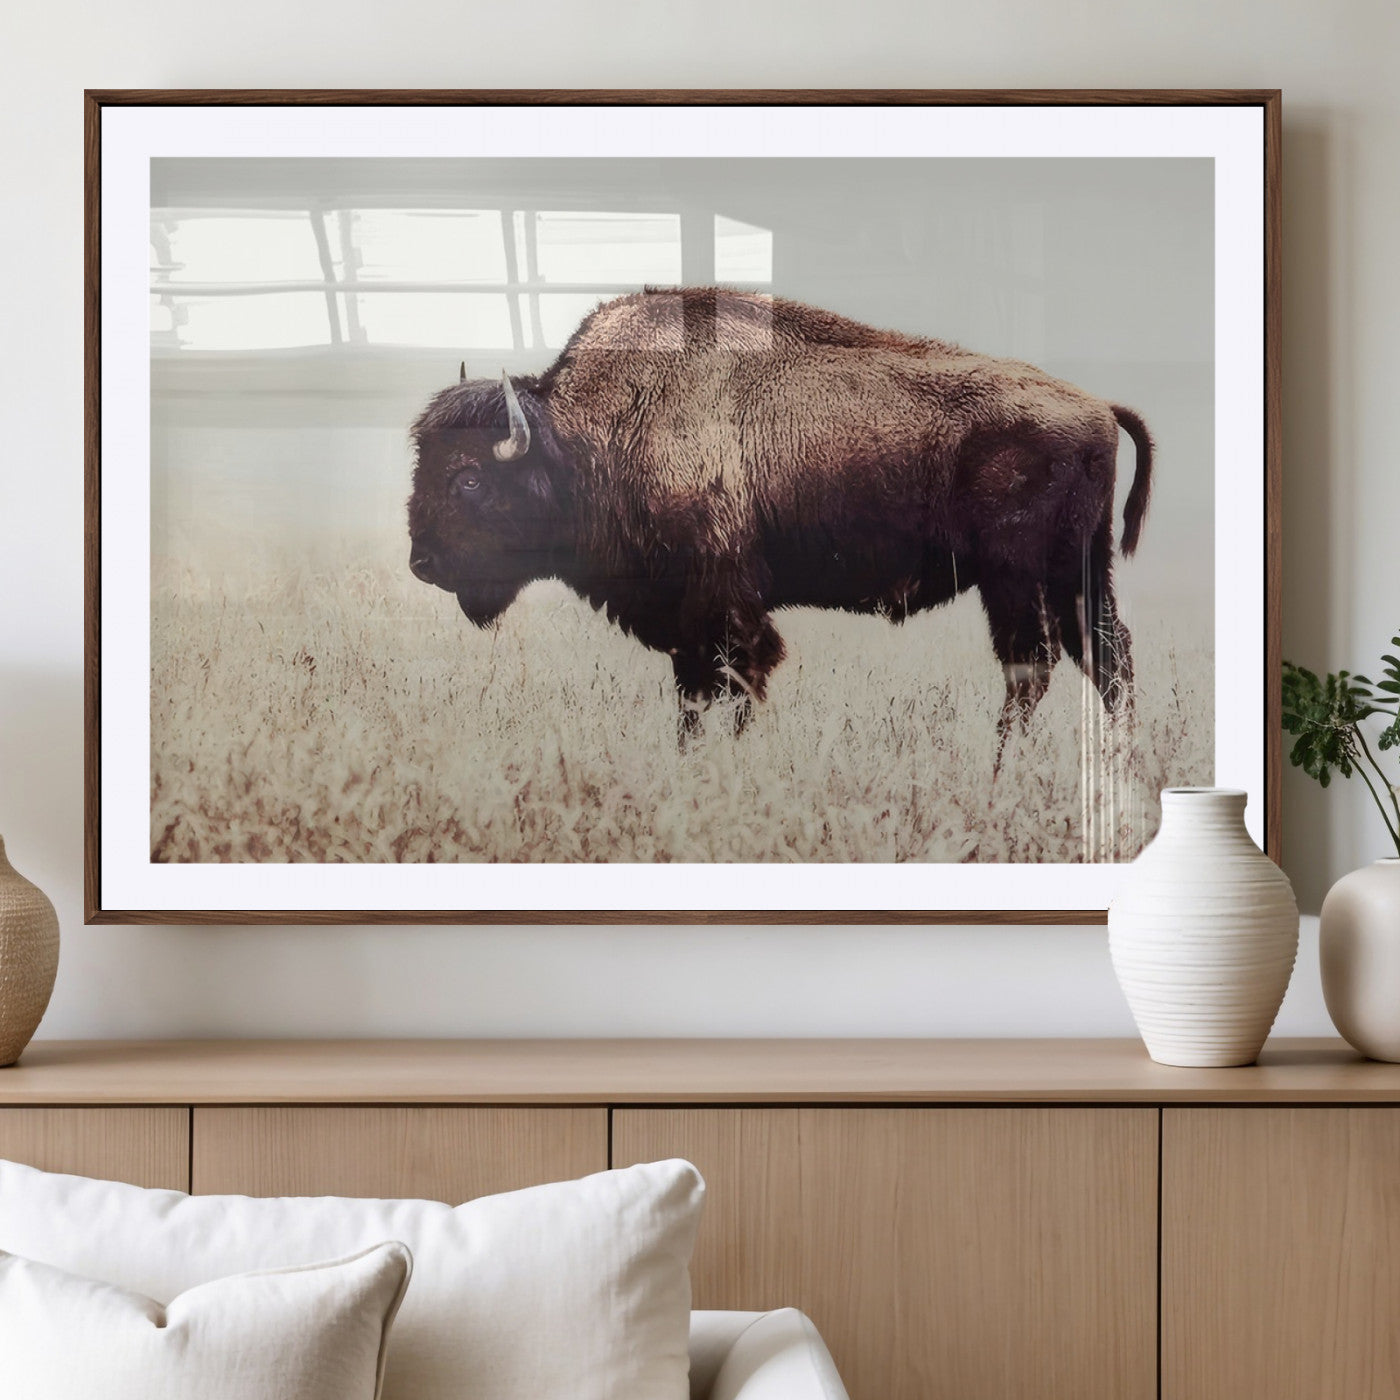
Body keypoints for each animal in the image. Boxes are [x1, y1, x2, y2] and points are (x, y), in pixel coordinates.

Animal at [408, 288, 1152, 746]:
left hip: (1015, 576)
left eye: (469, 479)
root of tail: (1096, 405)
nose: (422, 563)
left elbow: (733, 681)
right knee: (1105, 657)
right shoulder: (689, 621)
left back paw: (1000, 769)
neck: (588, 436)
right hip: (1078, 571)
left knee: (1033, 665)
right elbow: (695, 694)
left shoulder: (723, 606)